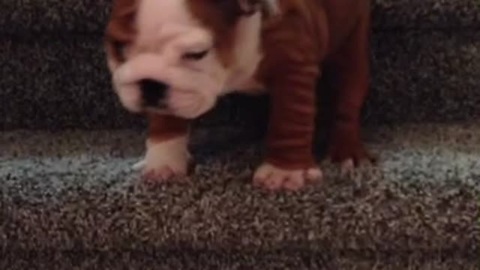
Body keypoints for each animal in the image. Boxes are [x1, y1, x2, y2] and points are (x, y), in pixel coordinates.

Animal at [104, 0, 376, 191]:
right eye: (118, 47)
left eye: (197, 54)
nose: (150, 84)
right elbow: (166, 119)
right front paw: (164, 160)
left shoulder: (294, 67)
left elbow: (289, 120)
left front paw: (284, 172)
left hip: (352, 41)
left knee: (347, 101)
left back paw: (346, 152)